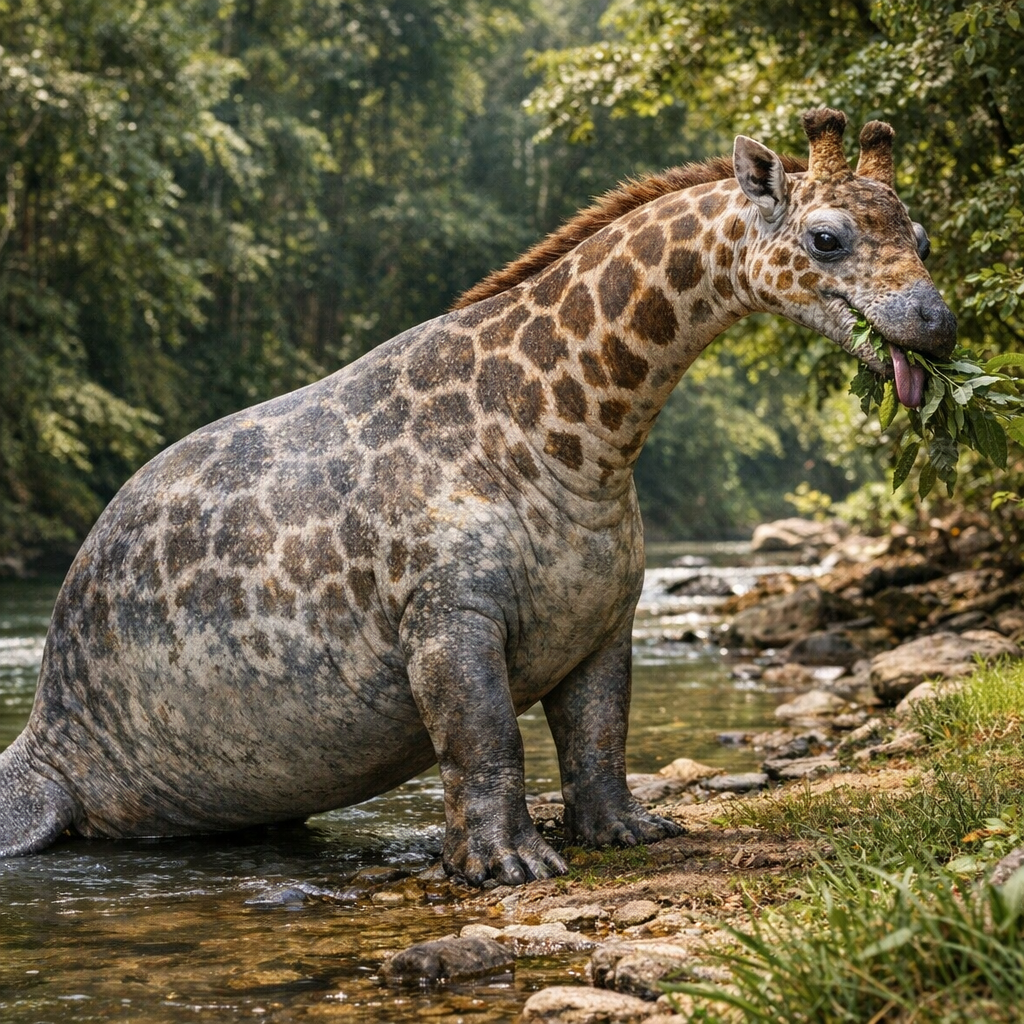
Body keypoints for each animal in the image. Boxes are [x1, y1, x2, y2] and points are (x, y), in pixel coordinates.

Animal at [0, 109, 954, 886]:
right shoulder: (447, 621)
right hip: (61, 781)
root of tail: (43, 732)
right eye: (827, 238)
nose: (939, 321)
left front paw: (622, 831)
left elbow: (599, 740)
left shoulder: (606, 620)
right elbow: (486, 742)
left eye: (920, 233)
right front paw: (503, 862)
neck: (577, 441)